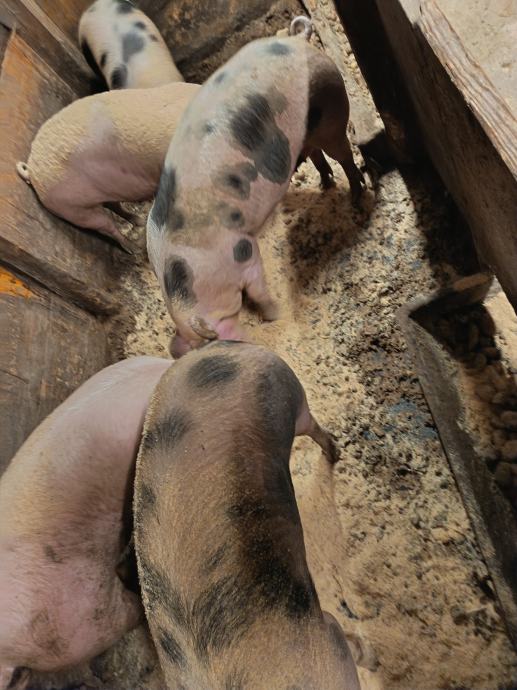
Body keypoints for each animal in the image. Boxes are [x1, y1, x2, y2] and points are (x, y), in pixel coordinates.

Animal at [16, 82, 199, 253]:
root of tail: (31, 170)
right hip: (73, 209)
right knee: (107, 226)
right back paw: (132, 249)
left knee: (115, 206)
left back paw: (138, 221)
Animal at [146, 17, 365, 356]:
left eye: (217, 342)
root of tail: (296, 41)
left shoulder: (244, 253)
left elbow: (260, 291)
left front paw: (275, 316)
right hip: (306, 127)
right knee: (316, 152)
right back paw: (325, 184)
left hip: (329, 101)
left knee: (342, 154)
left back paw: (355, 198)